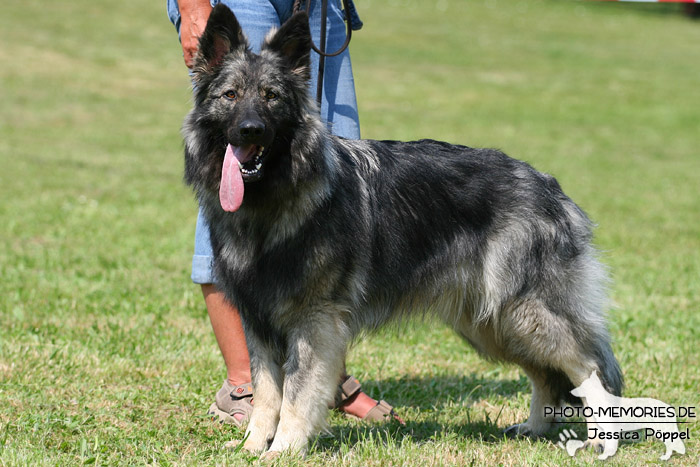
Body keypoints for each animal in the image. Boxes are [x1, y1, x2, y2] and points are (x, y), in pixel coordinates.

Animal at [182, 3, 624, 458]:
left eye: (272, 97)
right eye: (230, 96)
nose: (250, 129)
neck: (272, 202)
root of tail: (549, 186)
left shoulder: (314, 320)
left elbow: (297, 393)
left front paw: (283, 450)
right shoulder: (258, 321)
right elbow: (267, 392)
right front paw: (253, 446)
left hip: (525, 313)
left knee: (589, 367)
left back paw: (602, 438)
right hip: (493, 321)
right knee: (546, 374)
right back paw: (535, 428)